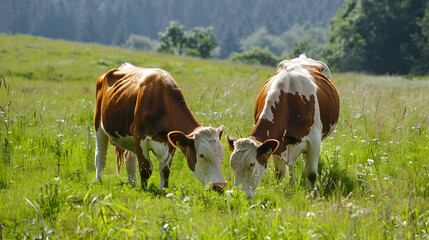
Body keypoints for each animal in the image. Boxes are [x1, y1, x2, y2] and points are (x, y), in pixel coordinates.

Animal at [94, 62, 227, 192]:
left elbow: (165, 170)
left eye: (222, 155)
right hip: (99, 124)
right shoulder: (139, 136)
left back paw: (133, 185)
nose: (219, 186)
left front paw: (163, 191)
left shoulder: (170, 142)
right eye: (201, 155)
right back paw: (99, 180)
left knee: (129, 157)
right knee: (100, 155)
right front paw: (144, 190)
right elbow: (145, 168)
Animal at [226, 54, 340, 199]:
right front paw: (278, 190)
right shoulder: (278, 142)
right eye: (232, 164)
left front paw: (314, 195)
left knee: (306, 162)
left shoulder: (314, 141)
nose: (236, 194)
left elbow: (311, 173)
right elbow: (279, 172)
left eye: (252, 164)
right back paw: (292, 182)